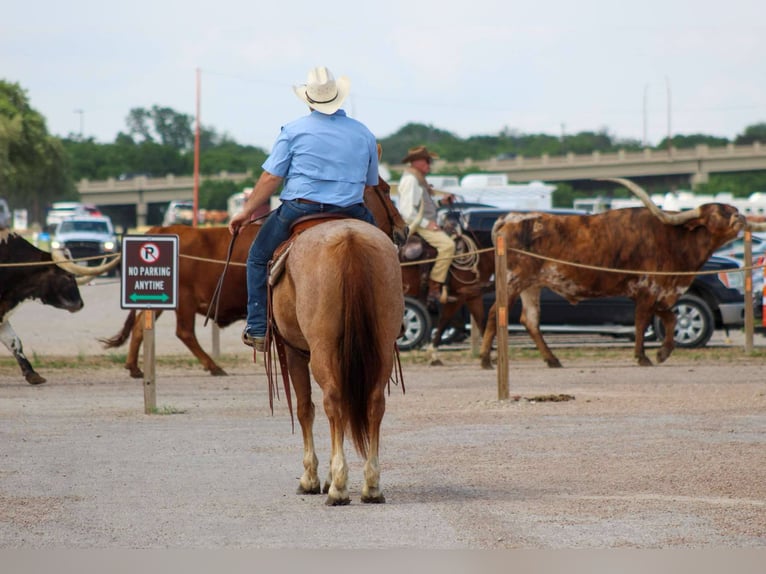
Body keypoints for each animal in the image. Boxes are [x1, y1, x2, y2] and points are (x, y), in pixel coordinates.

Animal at [269, 218, 404, 506]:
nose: (403, 230)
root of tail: (350, 240)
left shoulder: (294, 352)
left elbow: (304, 409)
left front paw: (312, 478)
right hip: (382, 348)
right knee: (375, 404)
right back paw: (371, 486)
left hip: (322, 350)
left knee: (333, 401)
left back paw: (339, 488)